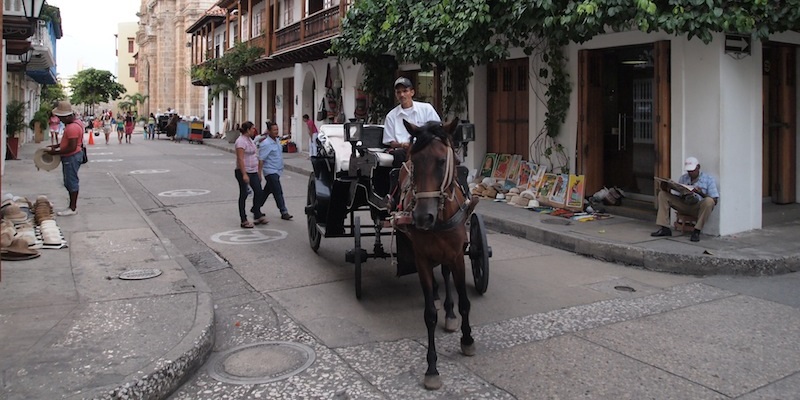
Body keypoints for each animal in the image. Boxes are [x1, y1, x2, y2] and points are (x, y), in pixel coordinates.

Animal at [396, 119, 478, 390]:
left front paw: (467, 339)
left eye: (442, 161)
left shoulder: (457, 255)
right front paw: (432, 368)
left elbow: (464, 301)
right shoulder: (421, 258)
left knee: (445, 274)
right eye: (414, 160)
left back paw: (450, 313)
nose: (423, 217)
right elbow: (429, 314)